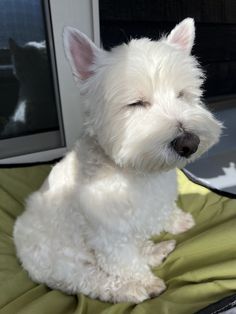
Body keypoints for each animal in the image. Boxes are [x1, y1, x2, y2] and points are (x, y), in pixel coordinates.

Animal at [13, 18, 222, 302]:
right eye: (136, 103)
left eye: (182, 94)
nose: (188, 143)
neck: (138, 171)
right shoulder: (109, 236)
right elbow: (125, 263)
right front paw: (143, 282)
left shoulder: (157, 199)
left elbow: (163, 211)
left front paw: (178, 221)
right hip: (66, 264)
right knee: (94, 280)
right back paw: (136, 288)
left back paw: (157, 250)